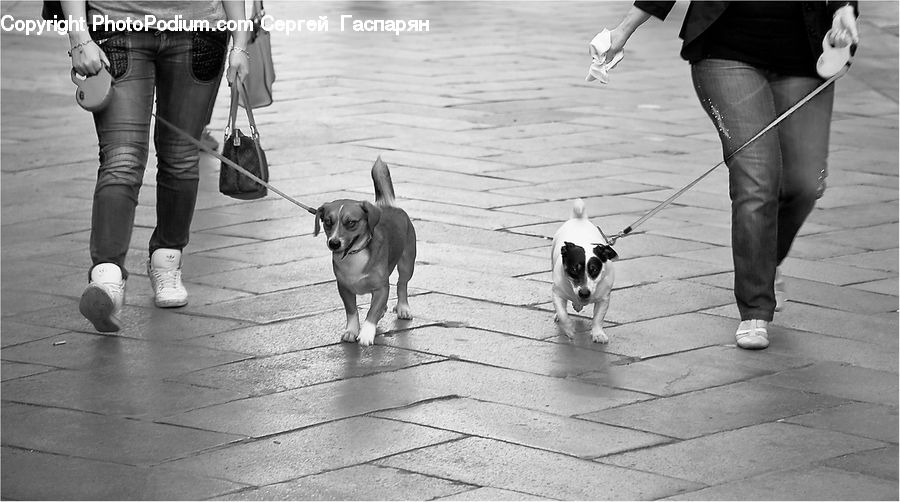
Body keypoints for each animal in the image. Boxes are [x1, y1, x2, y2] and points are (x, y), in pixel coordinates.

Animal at [314, 157, 416, 346]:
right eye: (327, 222)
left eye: (351, 223)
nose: (334, 243)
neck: (355, 255)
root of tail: (388, 204)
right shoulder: (344, 289)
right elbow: (352, 311)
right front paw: (351, 331)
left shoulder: (381, 288)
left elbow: (371, 312)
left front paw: (367, 333)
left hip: (407, 263)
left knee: (401, 285)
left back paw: (403, 308)